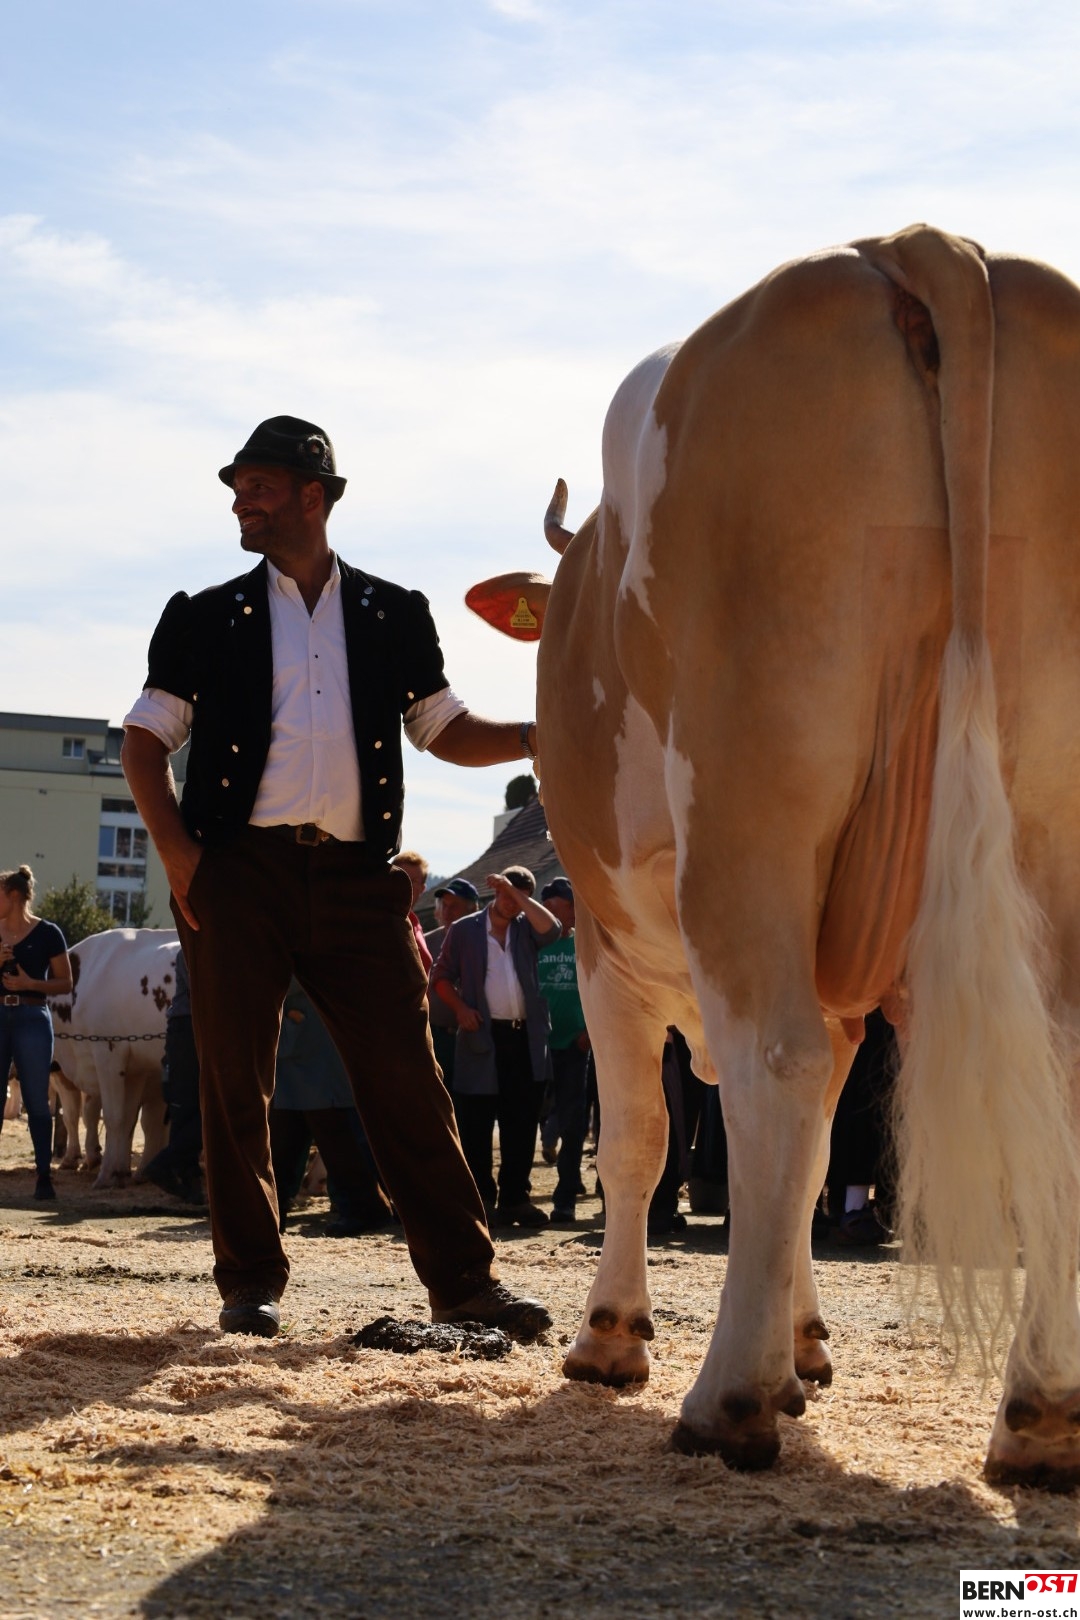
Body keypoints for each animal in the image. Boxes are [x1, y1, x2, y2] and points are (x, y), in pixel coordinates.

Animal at [49, 928, 177, 1189]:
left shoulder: (108, 1051)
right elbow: (128, 1119)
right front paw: (120, 1172)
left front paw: (106, 1174)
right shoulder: (136, 1067)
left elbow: (112, 1117)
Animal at [467, 225, 1080, 1488]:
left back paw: (727, 1403)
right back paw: (1041, 1415)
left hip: (750, 803)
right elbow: (797, 1174)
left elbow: (648, 1141)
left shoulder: (604, 946)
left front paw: (614, 1340)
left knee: (771, 1065)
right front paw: (806, 1348)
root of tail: (919, 245)